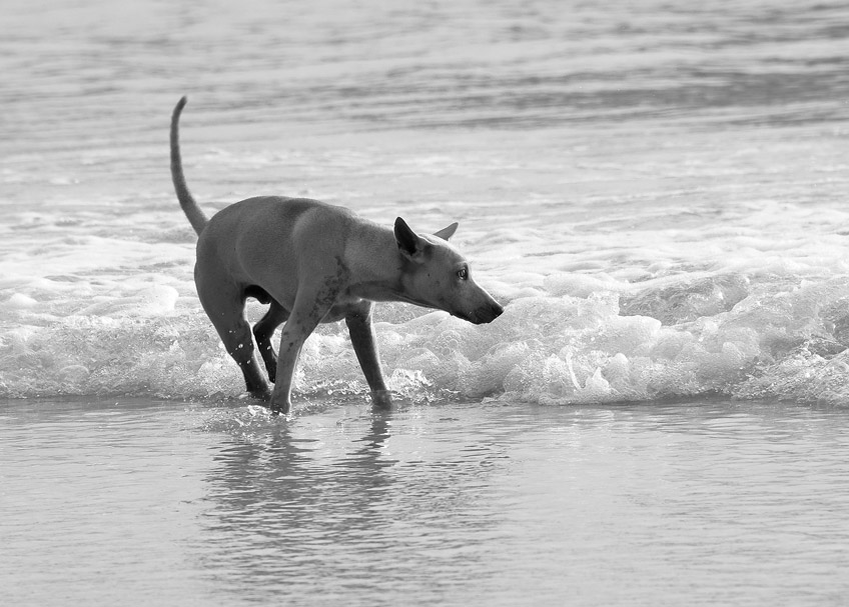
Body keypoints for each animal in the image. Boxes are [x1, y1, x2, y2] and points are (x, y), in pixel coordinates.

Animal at [171, 98, 504, 414]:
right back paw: (262, 387)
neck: (354, 248)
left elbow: (378, 384)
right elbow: (283, 397)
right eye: (461, 273)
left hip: (282, 301)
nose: (498, 309)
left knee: (262, 329)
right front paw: (280, 412)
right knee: (247, 354)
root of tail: (207, 226)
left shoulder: (361, 325)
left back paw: (273, 367)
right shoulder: (298, 328)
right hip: (229, 314)